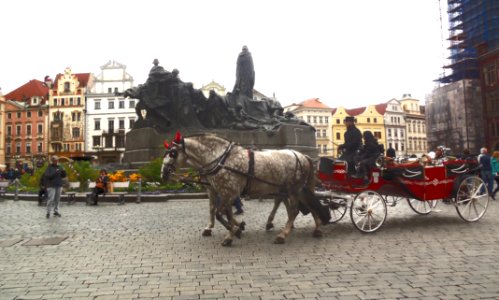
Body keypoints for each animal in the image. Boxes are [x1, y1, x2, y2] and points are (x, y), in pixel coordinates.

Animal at [162, 132, 330, 245]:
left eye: (173, 153)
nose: (163, 173)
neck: (220, 159)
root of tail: (302, 156)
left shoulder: (228, 192)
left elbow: (219, 213)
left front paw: (232, 233)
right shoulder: (219, 191)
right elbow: (220, 212)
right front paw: (234, 228)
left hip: (294, 188)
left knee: (295, 209)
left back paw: (283, 234)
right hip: (291, 189)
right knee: (302, 205)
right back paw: (315, 228)